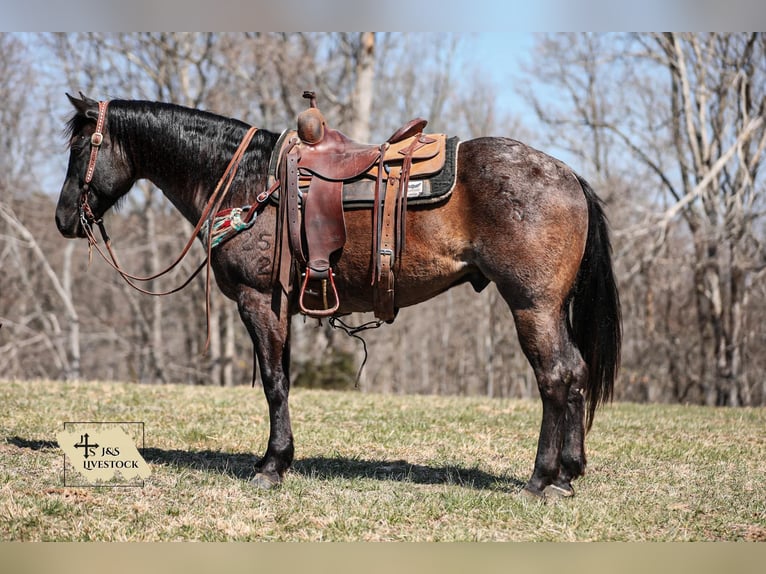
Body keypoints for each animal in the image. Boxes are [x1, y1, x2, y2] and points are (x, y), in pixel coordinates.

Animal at [54, 93, 620, 500]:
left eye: (80, 150)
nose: (63, 220)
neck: (246, 182)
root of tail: (568, 175)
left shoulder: (257, 301)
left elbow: (274, 383)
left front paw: (272, 465)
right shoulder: (280, 305)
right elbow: (280, 379)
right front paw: (278, 459)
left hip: (531, 306)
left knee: (555, 376)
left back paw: (541, 479)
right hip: (549, 309)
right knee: (574, 373)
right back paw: (567, 475)